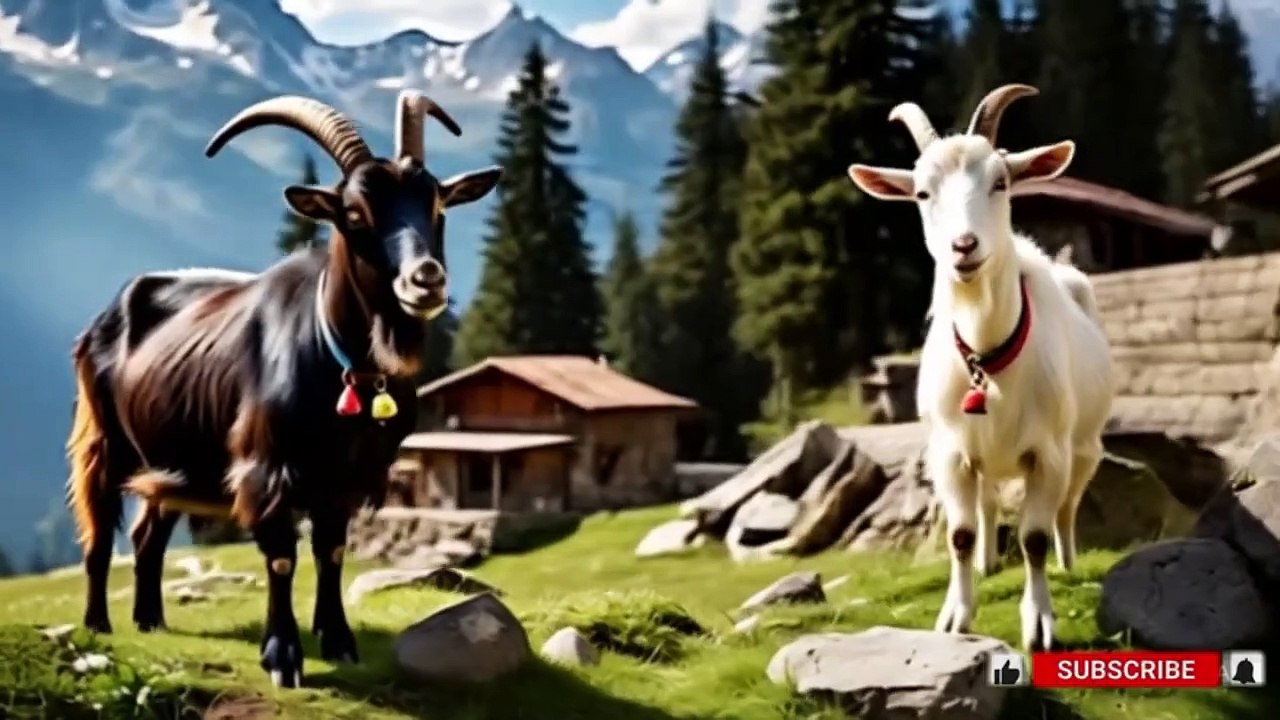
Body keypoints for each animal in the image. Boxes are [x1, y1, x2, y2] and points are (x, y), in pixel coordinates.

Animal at [65, 91, 502, 687]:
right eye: (354, 212)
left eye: (437, 206)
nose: (426, 280)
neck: (348, 370)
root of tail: (105, 316)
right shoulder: (266, 468)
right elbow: (280, 558)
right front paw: (283, 657)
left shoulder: (345, 479)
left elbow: (332, 551)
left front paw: (338, 641)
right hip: (105, 442)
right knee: (98, 533)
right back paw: (98, 624)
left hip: (174, 459)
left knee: (147, 535)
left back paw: (150, 619)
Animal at [845, 84, 1114, 651]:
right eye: (921, 194)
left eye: (1001, 181)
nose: (963, 247)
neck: (989, 357)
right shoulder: (950, 454)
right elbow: (960, 535)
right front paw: (956, 617)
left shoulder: (1048, 453)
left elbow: (1033, 538)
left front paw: (1039, 622)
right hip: (985, 456)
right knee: (988, 505)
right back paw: (990, 563)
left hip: (1084, 448)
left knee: (1068, 506)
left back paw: (1069, 559)